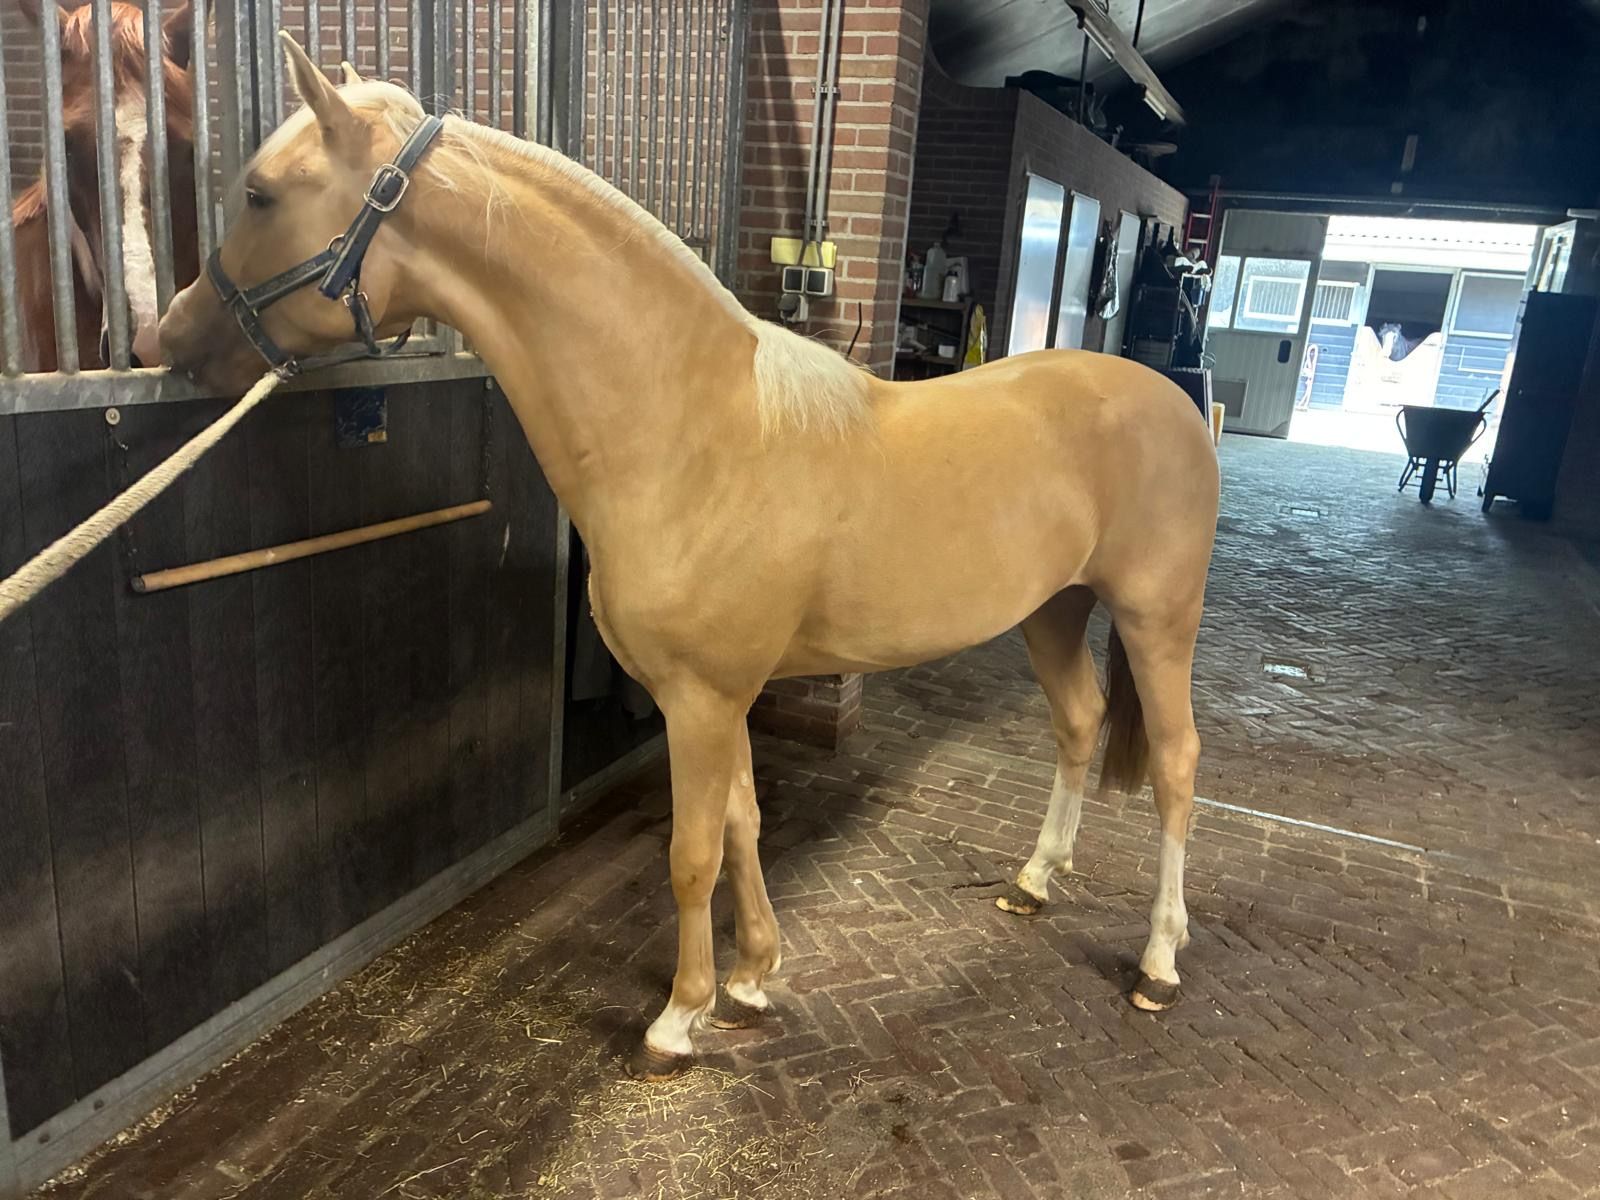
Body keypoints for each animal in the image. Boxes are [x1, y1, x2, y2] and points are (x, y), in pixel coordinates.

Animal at [157, 35, 1221, 1081]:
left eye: (260, 193)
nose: (166, 337)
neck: (690, 429)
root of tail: (1172, 400)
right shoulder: (722, 695)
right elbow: (744, 822)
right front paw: (751, 978)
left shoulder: (701, 699)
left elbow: (692, 854)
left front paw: (679, 1016)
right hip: (1053, 611)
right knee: (1080, 724)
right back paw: (1036, 881)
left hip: (1155, 620)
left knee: (1175, 764)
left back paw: (1161, 961)